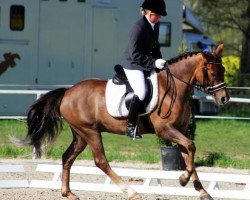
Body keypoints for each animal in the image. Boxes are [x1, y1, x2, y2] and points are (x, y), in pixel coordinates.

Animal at [12, 44, 229, 200]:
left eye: (224, 71)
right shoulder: (165, 130)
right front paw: (183, 180)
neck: (173, 87)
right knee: (100, 161)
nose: (224, 98)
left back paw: (68, 193)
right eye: (213, 73)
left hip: (80, 134)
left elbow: (188, 154)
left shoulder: (180, 130)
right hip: (90, 132)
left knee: (68, 157)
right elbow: (191, 147)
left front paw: (202, 191)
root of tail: (67, 92)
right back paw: (131, 192)